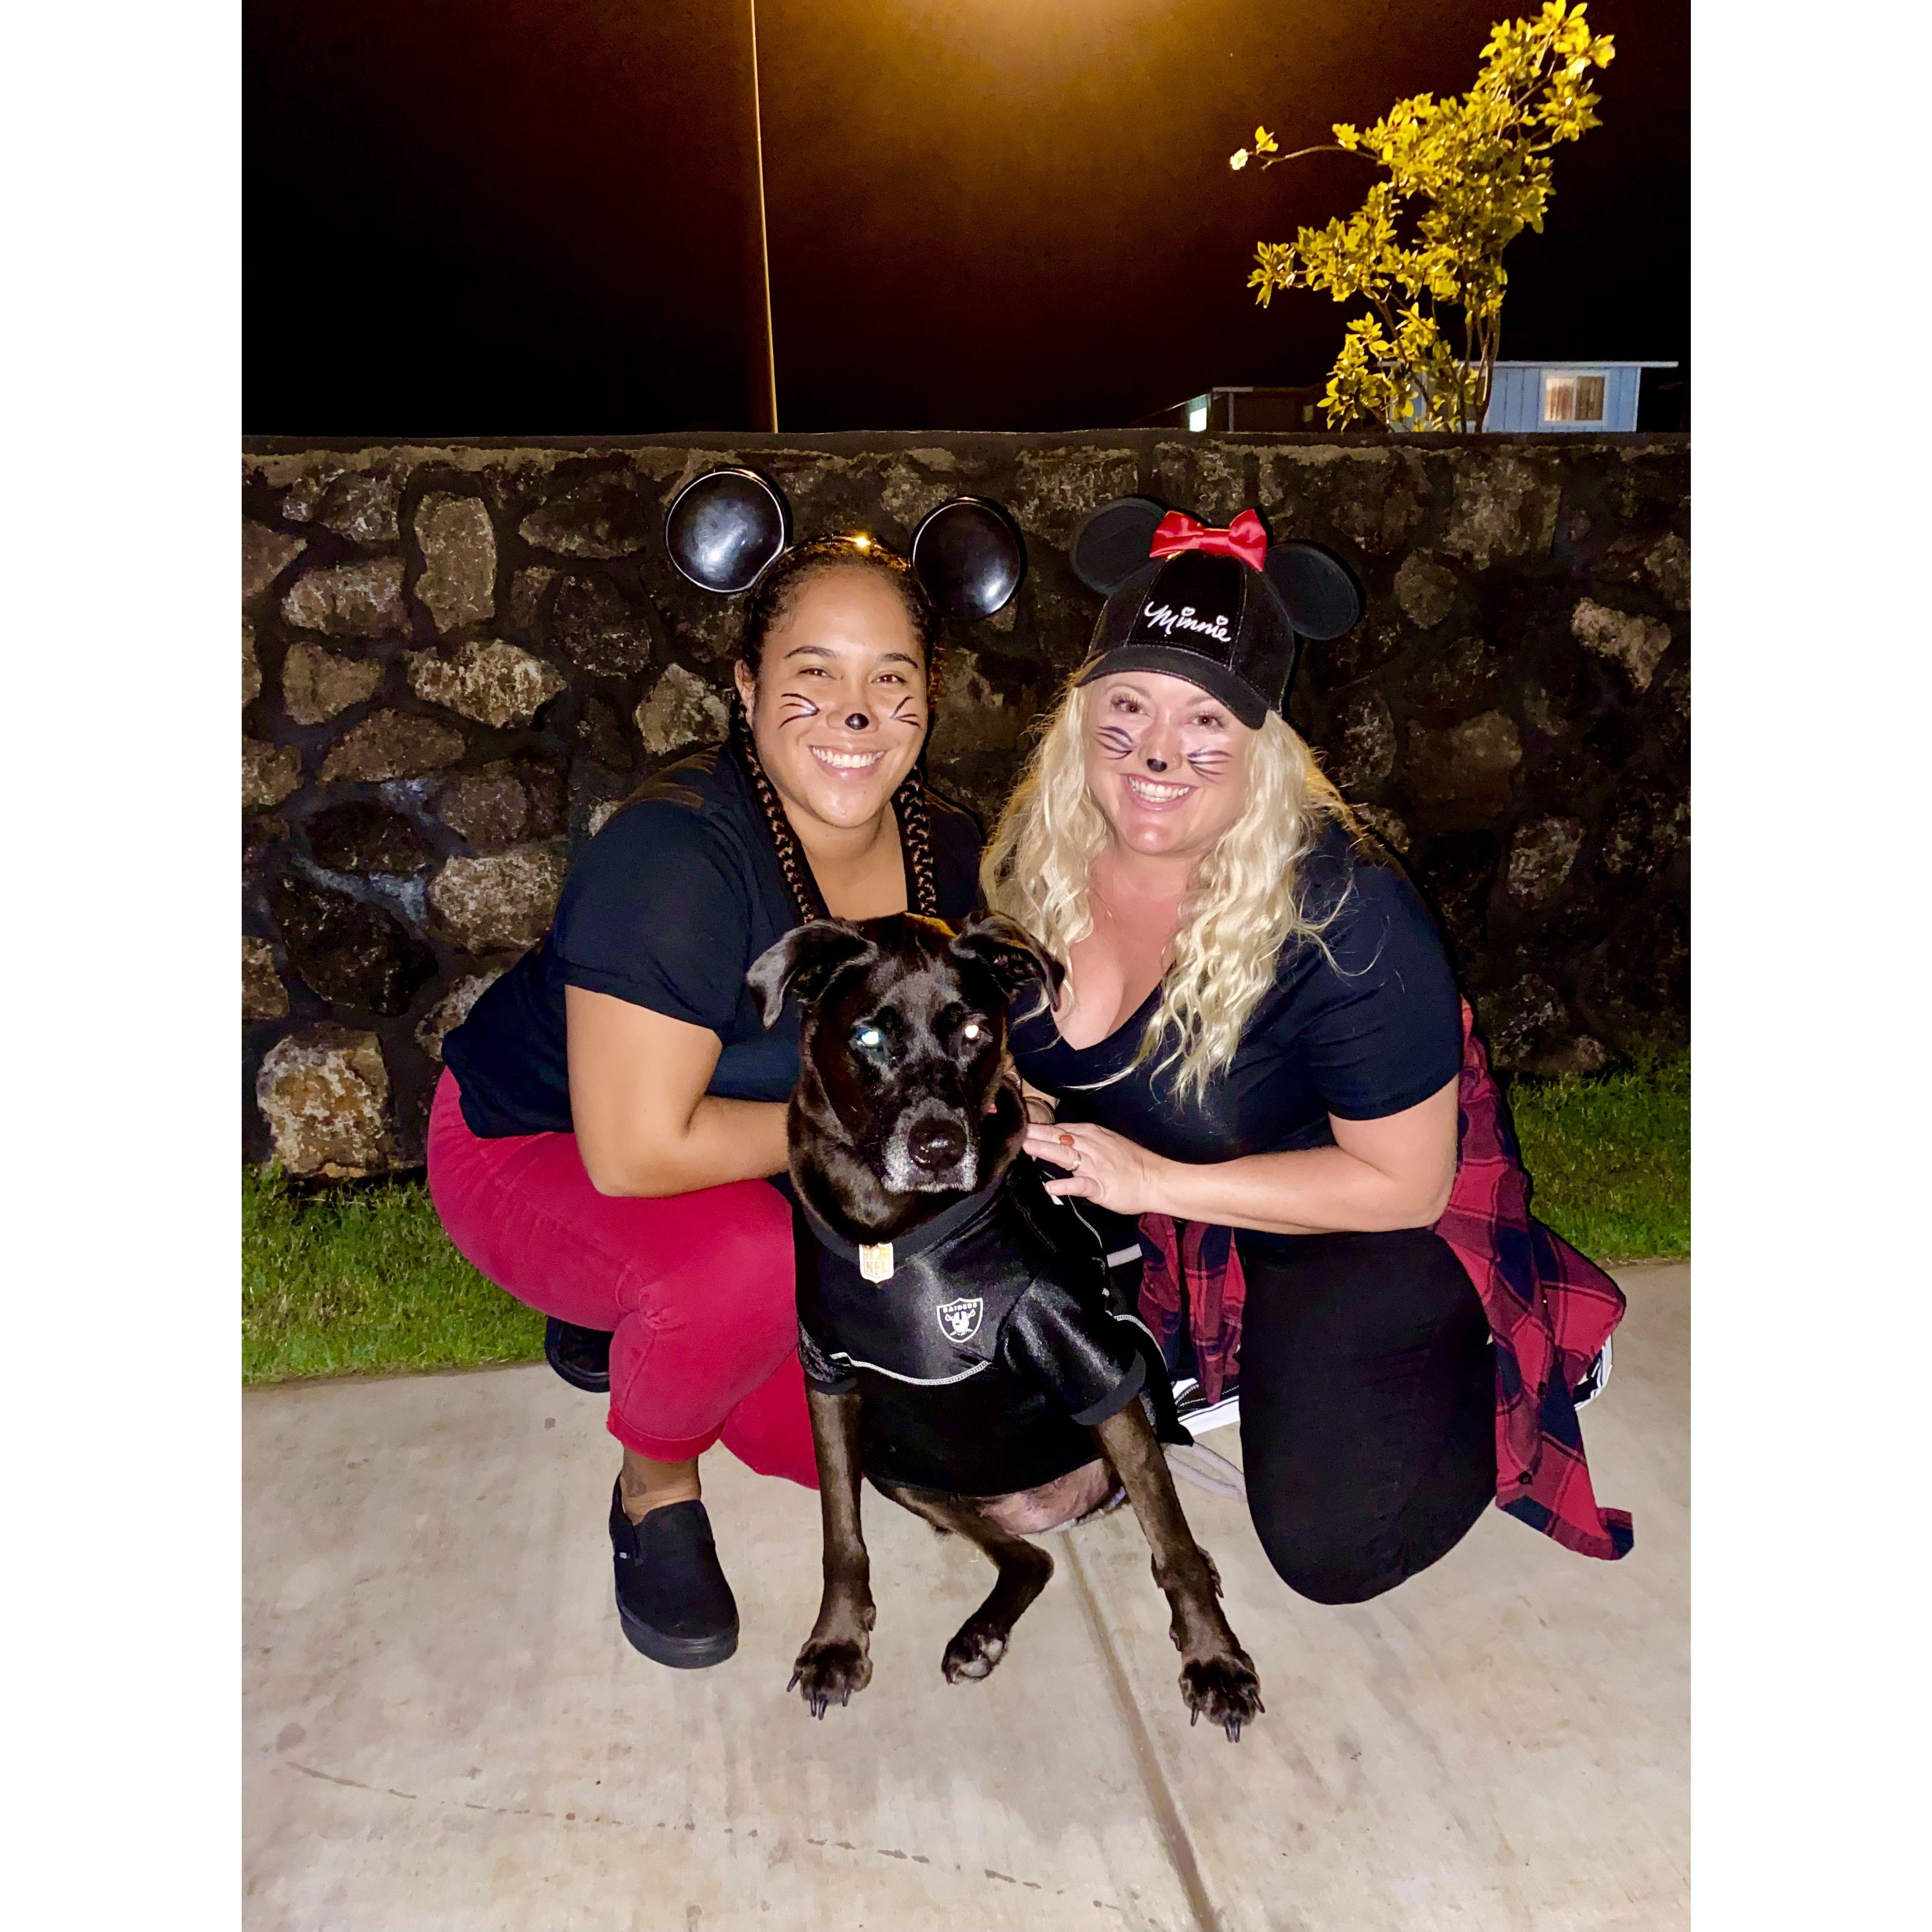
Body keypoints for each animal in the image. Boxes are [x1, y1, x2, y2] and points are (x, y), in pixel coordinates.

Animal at [742, 912, 1267, 1746]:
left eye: (975, 1031)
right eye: (868, 1036)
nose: (938, 1148)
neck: (891, 1230)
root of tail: (1045, 1510)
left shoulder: (1089, 1366)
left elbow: (1175, 1550)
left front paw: (1214, 1661)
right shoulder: (828, 1378)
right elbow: (840, 1537)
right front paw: (836, 1642)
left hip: (1128, 1424)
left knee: (1155, 1527)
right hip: (896, 1466)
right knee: (1027, 1559)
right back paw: (982, 1633)